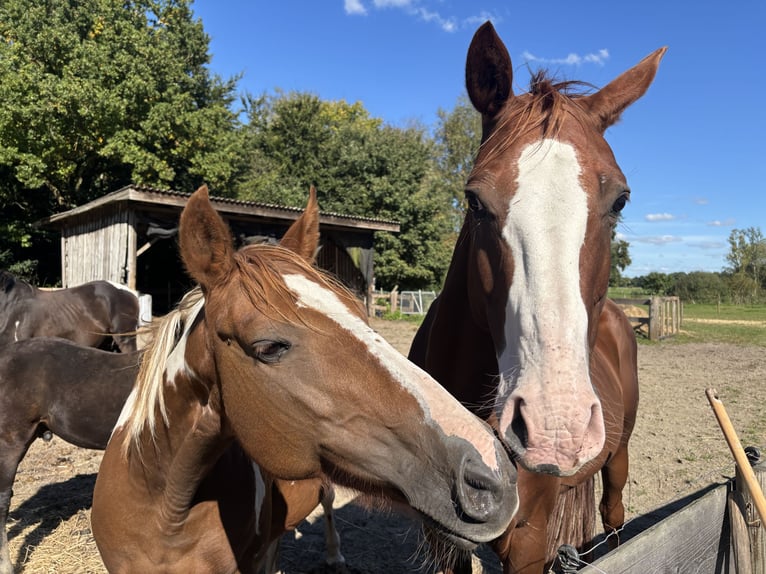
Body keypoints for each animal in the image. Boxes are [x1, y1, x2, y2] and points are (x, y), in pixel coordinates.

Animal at [408, 22, 665, 573]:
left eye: (620, 200)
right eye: (474, 200)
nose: (555, 427)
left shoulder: (527, 538)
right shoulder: (444, 538)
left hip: (617, 457)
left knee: (613, 517)